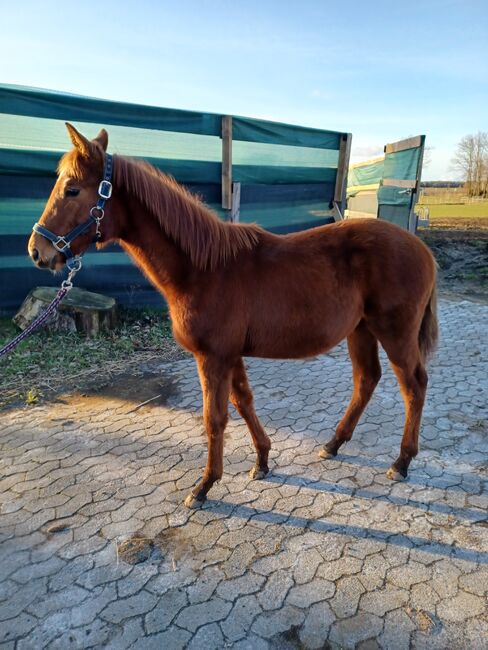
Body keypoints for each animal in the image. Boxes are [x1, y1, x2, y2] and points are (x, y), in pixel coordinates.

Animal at [28, 123, 436, 506]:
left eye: (72, 190)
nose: (37, 250)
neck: (203, 268)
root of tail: (421, 248)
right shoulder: (230, 355)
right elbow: (243, 402)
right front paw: (262, 461)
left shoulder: (213, 357)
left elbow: (215, 418)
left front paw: (205, 485)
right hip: (361, 330)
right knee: (367, 379)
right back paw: (333, 444)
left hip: (394, 332)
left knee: (414, 385)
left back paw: (401, 462)